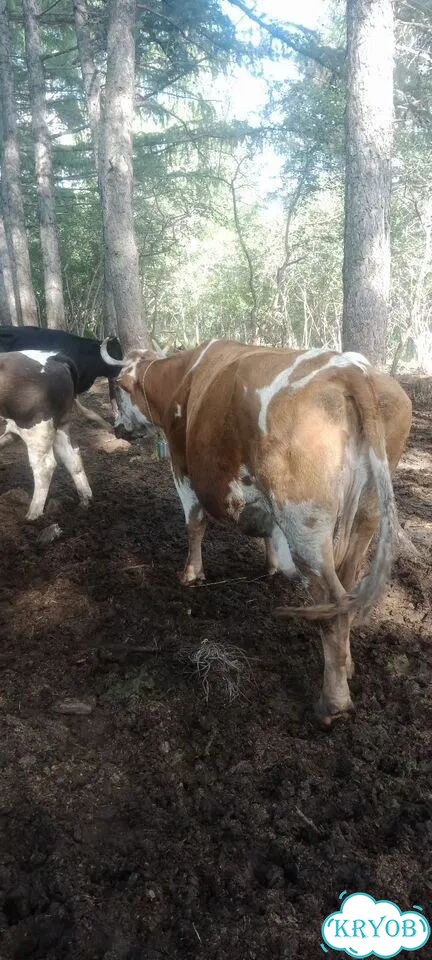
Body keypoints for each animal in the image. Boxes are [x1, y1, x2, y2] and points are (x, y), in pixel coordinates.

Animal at [0, 350, 92, 519]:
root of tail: (53, 357)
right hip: (60, 424)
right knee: (72, 457)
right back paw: (85, 501)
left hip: (36, 428)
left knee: (45, 467)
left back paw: (32, 515)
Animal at [104, 338, 412, 725]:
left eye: (118, 389)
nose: (116, 427)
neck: (181, 376)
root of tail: (350, 370)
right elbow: (265, 532)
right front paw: (271, 567)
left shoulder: (181, 466)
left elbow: (194, 524)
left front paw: (191, 574)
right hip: (365, 516)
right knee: (348, 586)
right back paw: (348, 665)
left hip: (304, 521)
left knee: (333, 602)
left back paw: (333, 702)